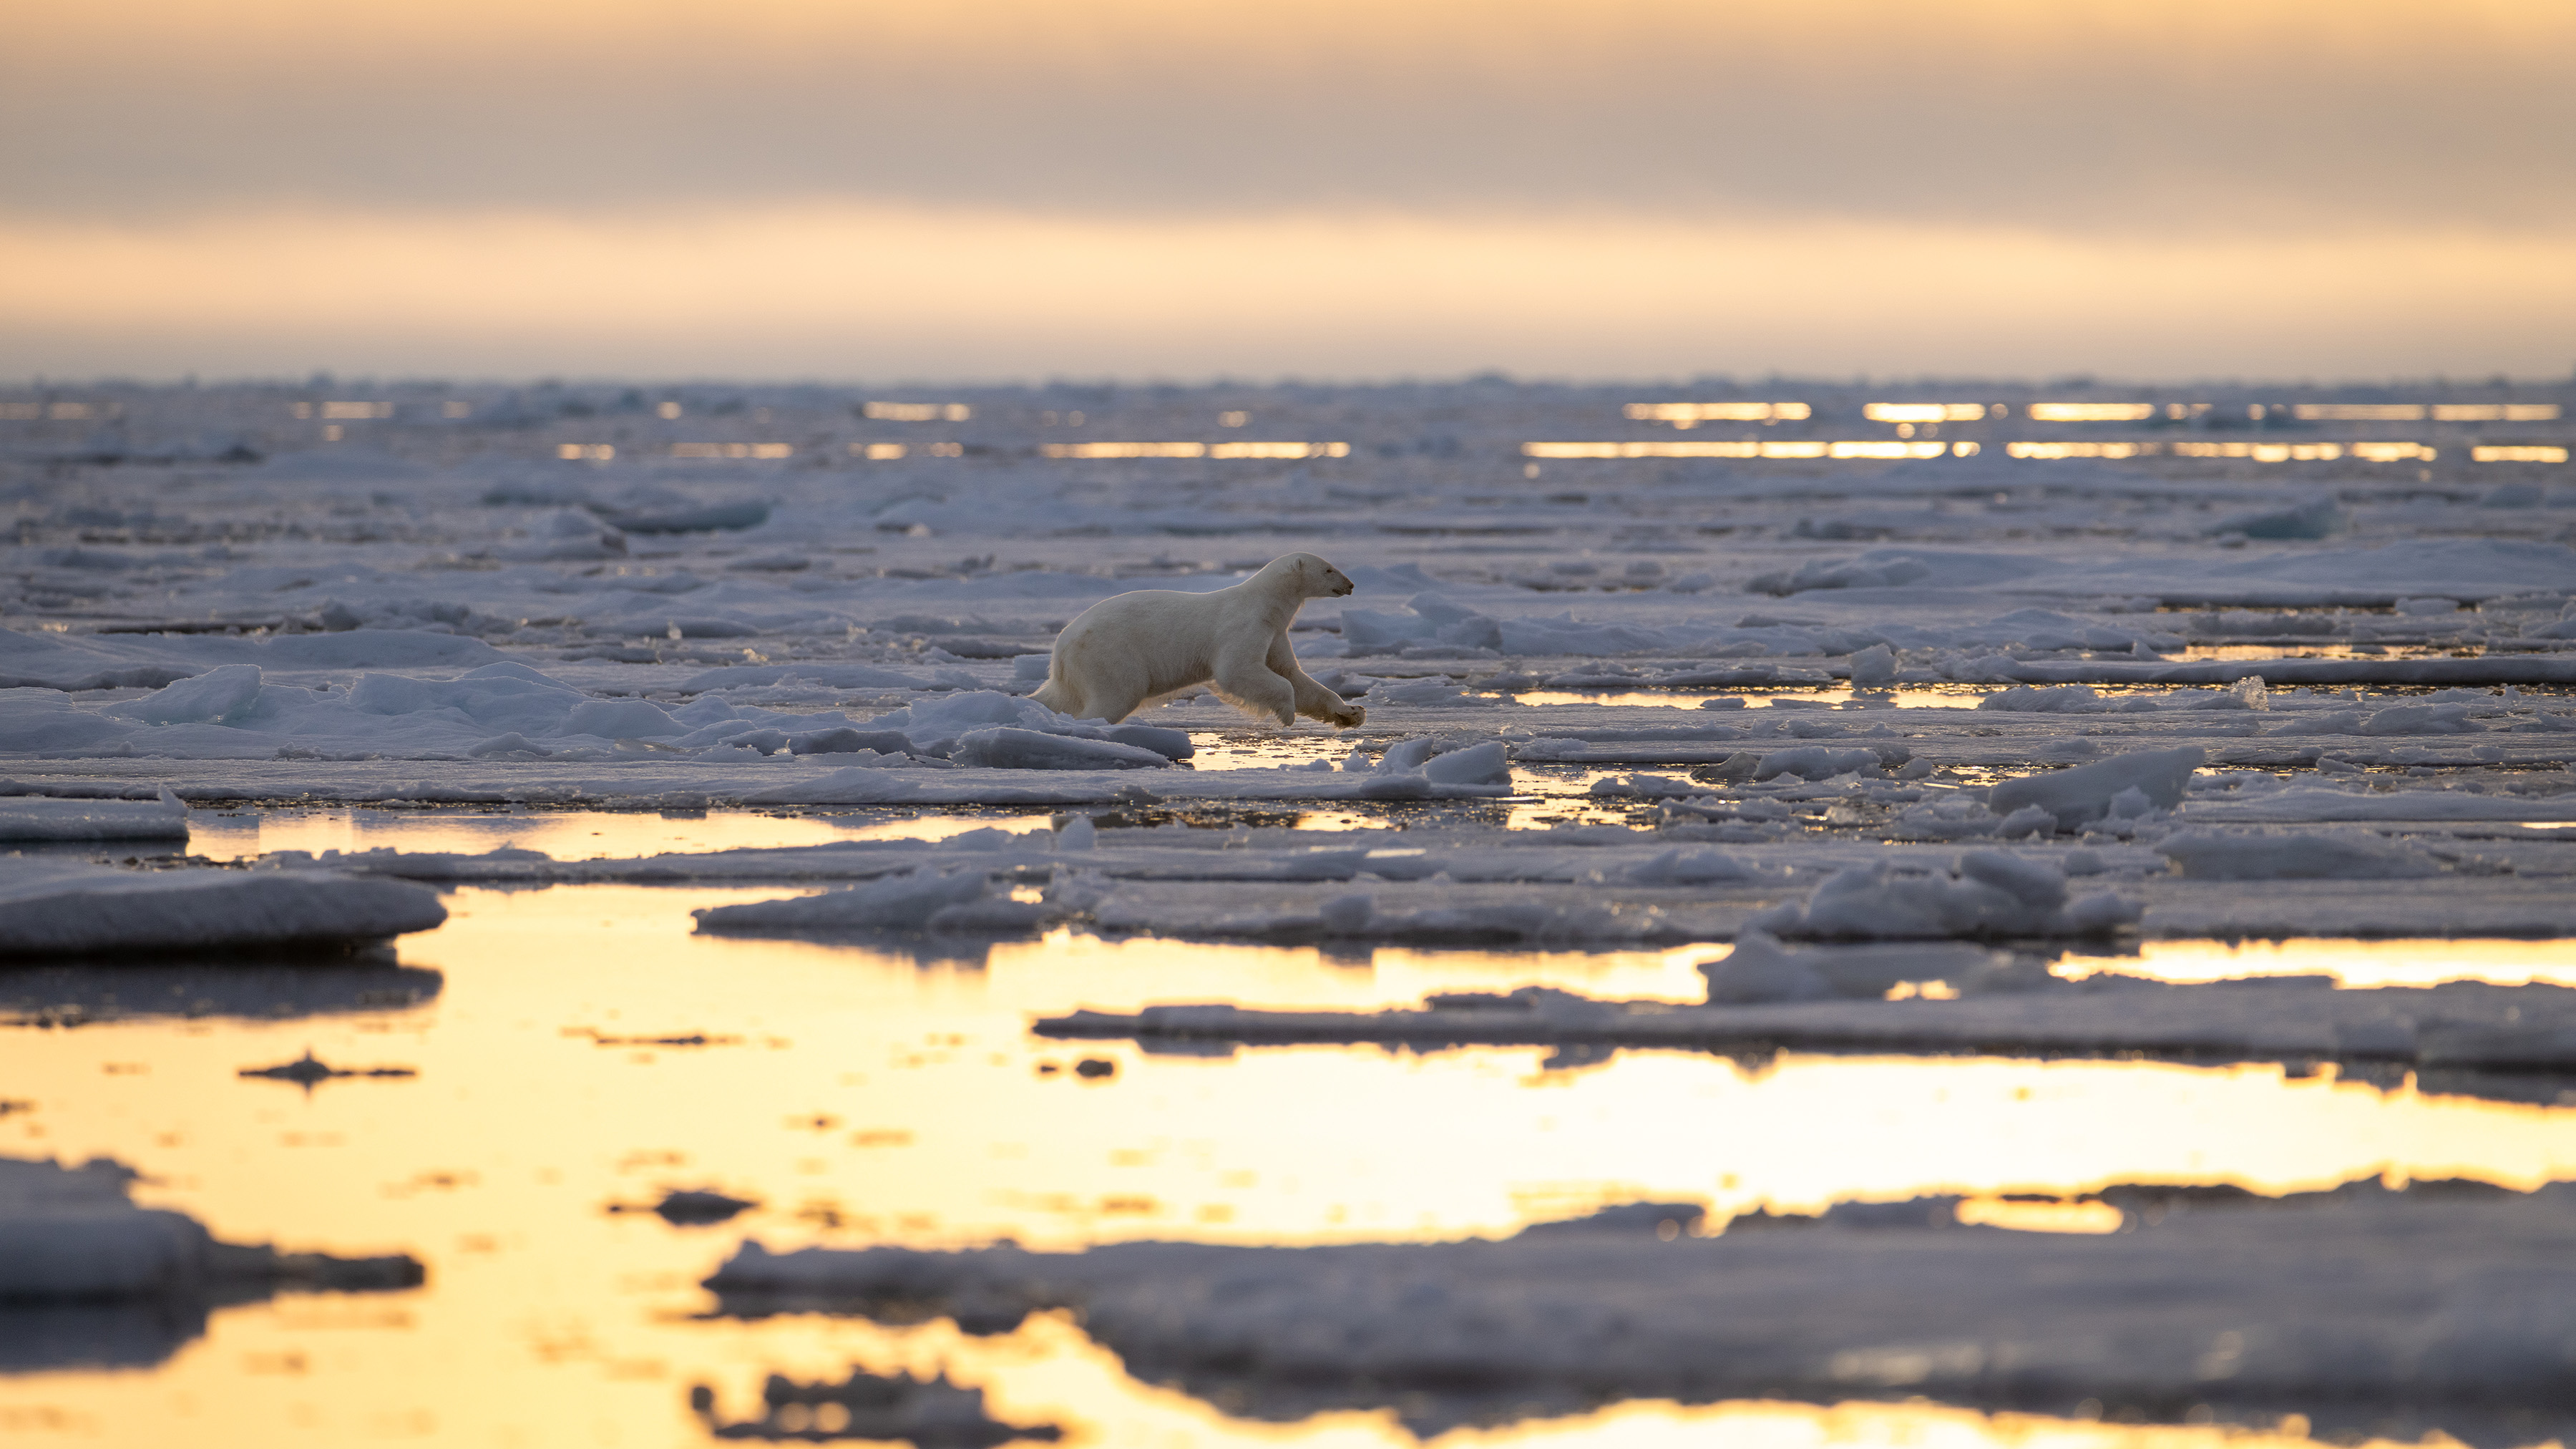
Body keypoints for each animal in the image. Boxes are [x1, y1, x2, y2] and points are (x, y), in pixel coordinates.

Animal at [1031, 552, 1368, 729]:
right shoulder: (1243, 626)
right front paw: (1286, 714)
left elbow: (1294, 675)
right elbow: (1238, 671)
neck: (1266, 603)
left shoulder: (1275, 633)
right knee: (1116, 696)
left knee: (1062, 698)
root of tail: (1059, 651)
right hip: (1108, 655)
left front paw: (1351, 713)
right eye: (1328, 569)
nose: (1351, 585)